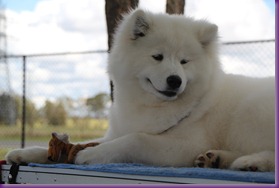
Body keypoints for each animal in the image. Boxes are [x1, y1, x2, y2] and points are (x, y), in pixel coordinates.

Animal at [6, 9, 276, 172]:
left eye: (184, 61)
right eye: (157, 57)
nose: (175, 80)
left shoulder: (184, 145)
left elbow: (135, 140)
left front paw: (91, 155)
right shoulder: (118, 131)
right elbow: (81, 142)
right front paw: (26, 153)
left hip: (252, 113)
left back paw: (252, 162)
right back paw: (216, 159)